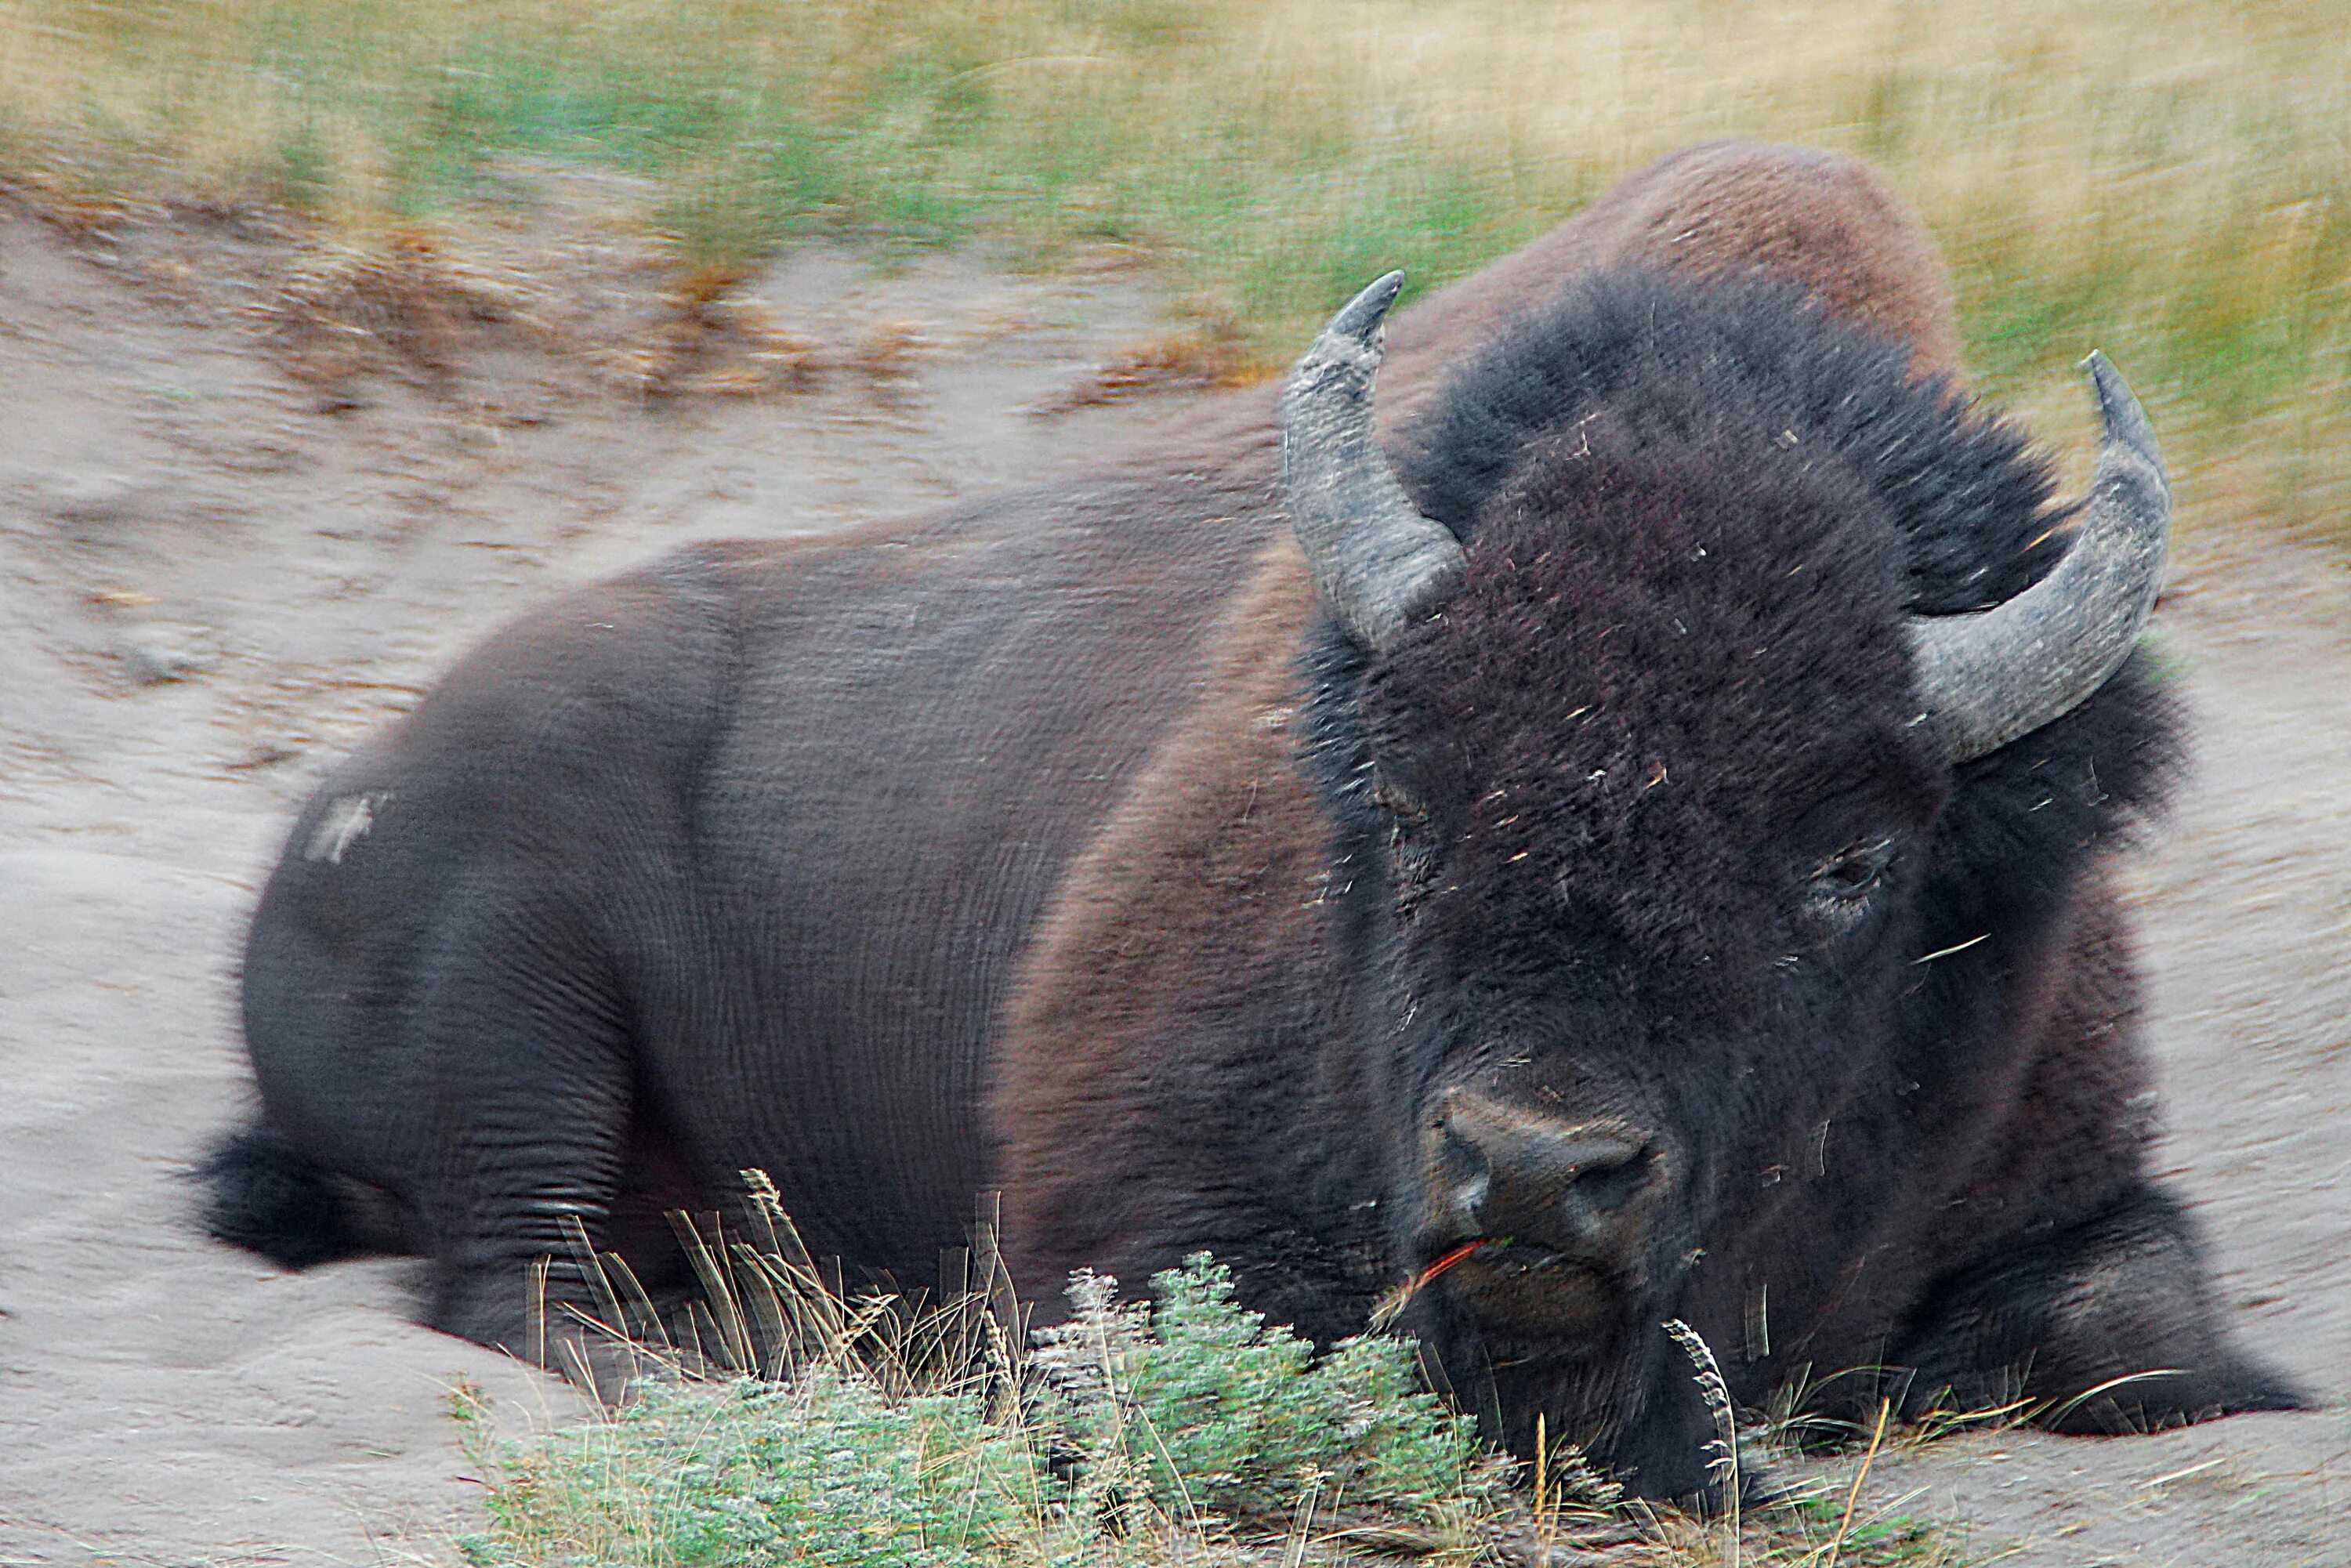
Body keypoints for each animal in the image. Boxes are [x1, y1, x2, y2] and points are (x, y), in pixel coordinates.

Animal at [197, 143, 2295, 1495]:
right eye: (1407, 803)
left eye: (1850, 861)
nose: (1532, 1168)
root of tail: (332, 803)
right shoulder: (1124, 1220)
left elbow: (2136, 1325)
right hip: (517, 977)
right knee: (522, 1281)